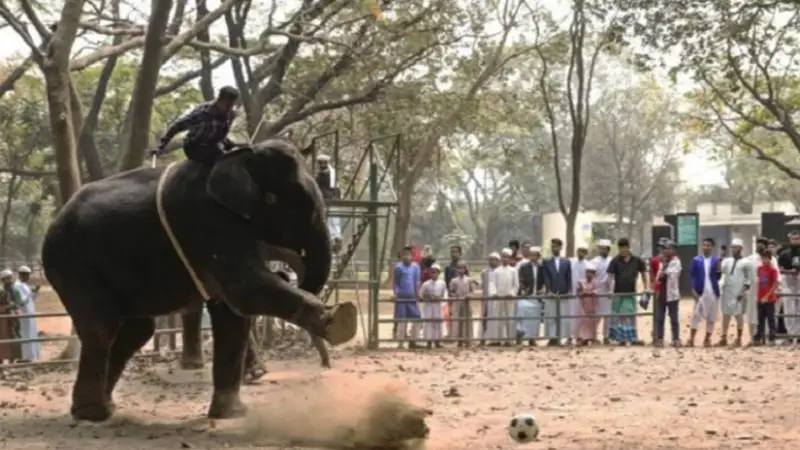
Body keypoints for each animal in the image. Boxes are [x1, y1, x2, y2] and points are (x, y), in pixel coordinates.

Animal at [41, 138, 356, 422]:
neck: (242, 152)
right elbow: (245, 289)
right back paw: (94, 414)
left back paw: (105, 407)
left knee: (136, 330)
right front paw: (342, 321)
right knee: (102, 327)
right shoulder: (207, 218)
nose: (289, 274)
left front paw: (232, 414)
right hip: (73, 264)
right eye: (277, 200)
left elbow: (232, 311)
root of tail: (54, 221)